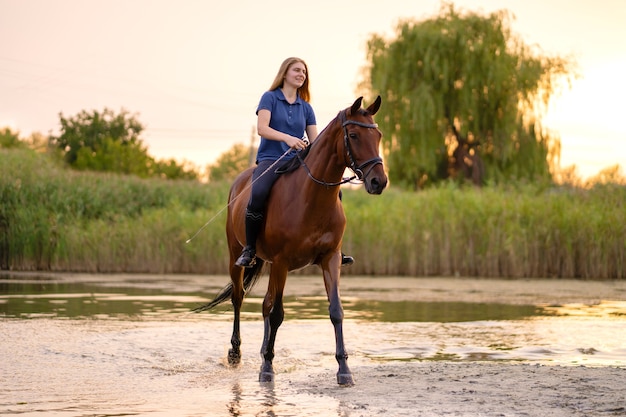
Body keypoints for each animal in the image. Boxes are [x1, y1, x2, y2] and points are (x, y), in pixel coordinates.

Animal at [193, 96, 386, 386]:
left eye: (379, 135)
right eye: (353, 135)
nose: (379, 182)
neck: (312, 198)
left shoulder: (330, 259)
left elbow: (336, 311)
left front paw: (344, 370)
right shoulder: (283, 262)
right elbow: (278, 314)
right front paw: (267, 370)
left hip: (271, 265)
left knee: (264, 304)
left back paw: (263, 351)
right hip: (238, 257)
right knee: (239, 298)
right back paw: (236, 354)